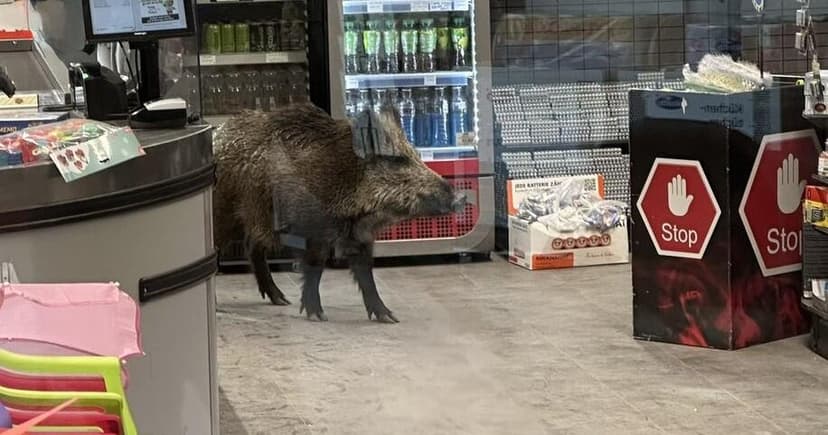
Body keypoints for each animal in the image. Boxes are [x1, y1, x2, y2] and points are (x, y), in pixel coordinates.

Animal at [213, 103, 465, 323]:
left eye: (417, 155)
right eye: (397, 160)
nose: (460, 197)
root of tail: (218, 136)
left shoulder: (360, 237)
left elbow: (366, 274)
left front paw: (389, 318)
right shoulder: (313, 231)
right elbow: (315, 268)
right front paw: (317, 315)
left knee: (252, 246)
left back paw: (281, 299)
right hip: (225, 214)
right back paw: (217, 305)